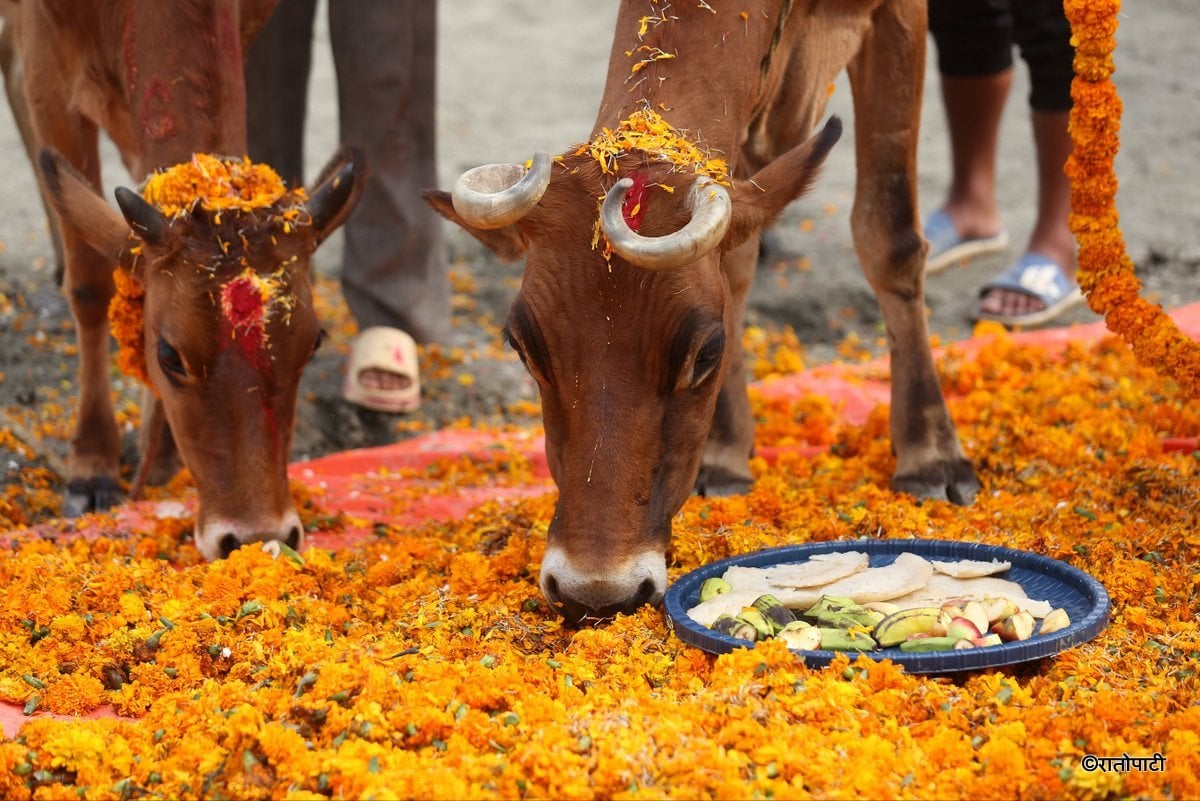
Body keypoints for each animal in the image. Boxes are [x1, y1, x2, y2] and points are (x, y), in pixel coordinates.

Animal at [2, 0, 362, 556]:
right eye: (170, 354)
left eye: (314, 343)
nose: (258, 536)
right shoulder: (47, 62)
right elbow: (91, 281)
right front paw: (92, 464)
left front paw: (164, 455)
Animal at [427, 0, 979, 623]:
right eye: (522, 348)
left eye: (707, 352)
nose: (595, 591)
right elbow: (735, 266)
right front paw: (726, 448)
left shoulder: (900, 19)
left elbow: (889, 237)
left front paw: (931, 451)